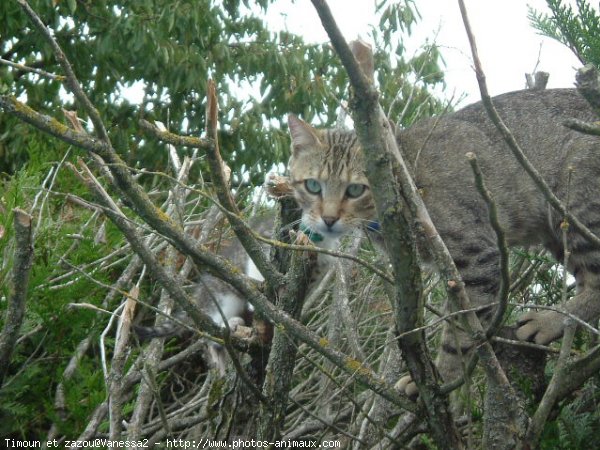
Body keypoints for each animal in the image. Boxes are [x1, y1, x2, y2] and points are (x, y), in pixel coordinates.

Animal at [286, 89, 600, 398]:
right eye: (312, 185)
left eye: (355, 190)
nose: (328, 219)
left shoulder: (477, 259)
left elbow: (459, 336)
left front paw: (443, 378)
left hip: (574, 208)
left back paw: (548, 321)